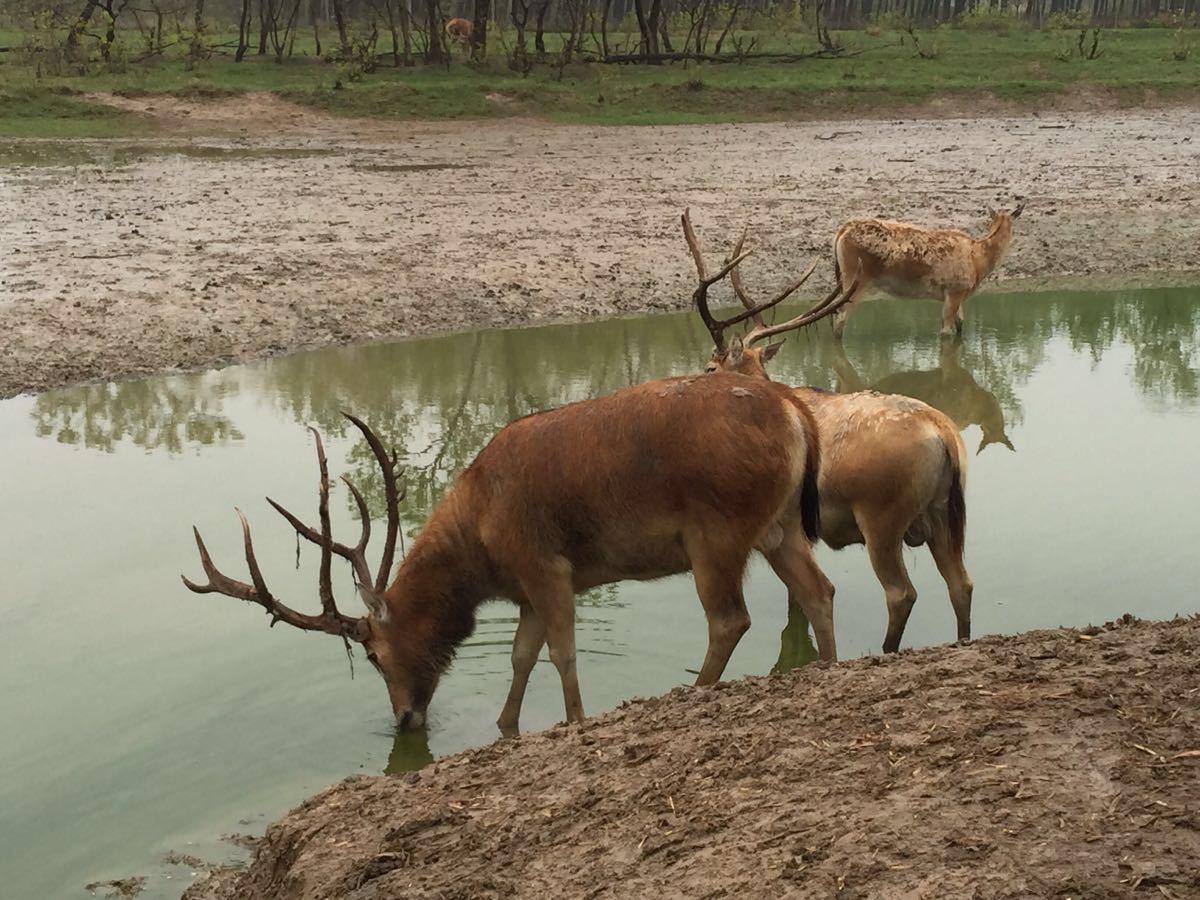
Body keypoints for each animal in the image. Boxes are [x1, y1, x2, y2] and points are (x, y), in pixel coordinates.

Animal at [182, 247, 849, 734]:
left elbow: (562, 652)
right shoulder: (525, 588)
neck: (479, 538)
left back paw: (695, 689)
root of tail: (795, 411)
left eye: (371, 652)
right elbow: (520, 655)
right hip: (781, 525)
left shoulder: (545, 565)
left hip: (717, 532)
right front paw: (505, 726)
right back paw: (830, 667)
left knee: (731, 620)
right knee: (819, 590)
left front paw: (575, 721)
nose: (405, 718)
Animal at [686, 213, 974, 657]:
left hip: (882, 517)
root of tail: (944, 434)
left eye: (710, 367)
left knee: (901, 593)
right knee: (961, 583)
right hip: (946, 511)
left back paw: (885, 649)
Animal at [830, 206, 1027, 340]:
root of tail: (842, 230)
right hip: (857, 281)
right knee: (840, 317)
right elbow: (945, 331)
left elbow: (960, 323)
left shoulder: (957, 293)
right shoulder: (955, 290)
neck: (979, 260)